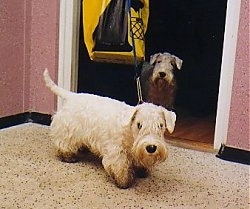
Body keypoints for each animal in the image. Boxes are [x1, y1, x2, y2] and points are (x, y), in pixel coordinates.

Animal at [43, 69, 176, 189]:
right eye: (139, 125)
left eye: (160, 125)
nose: (151, 148)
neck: (129, 132)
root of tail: (72, 96)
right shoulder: (116, 151)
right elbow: (120, 167)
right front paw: (124, 182)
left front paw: (142, 171)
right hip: (68, 129)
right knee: (64, 143)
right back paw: (68, 156)